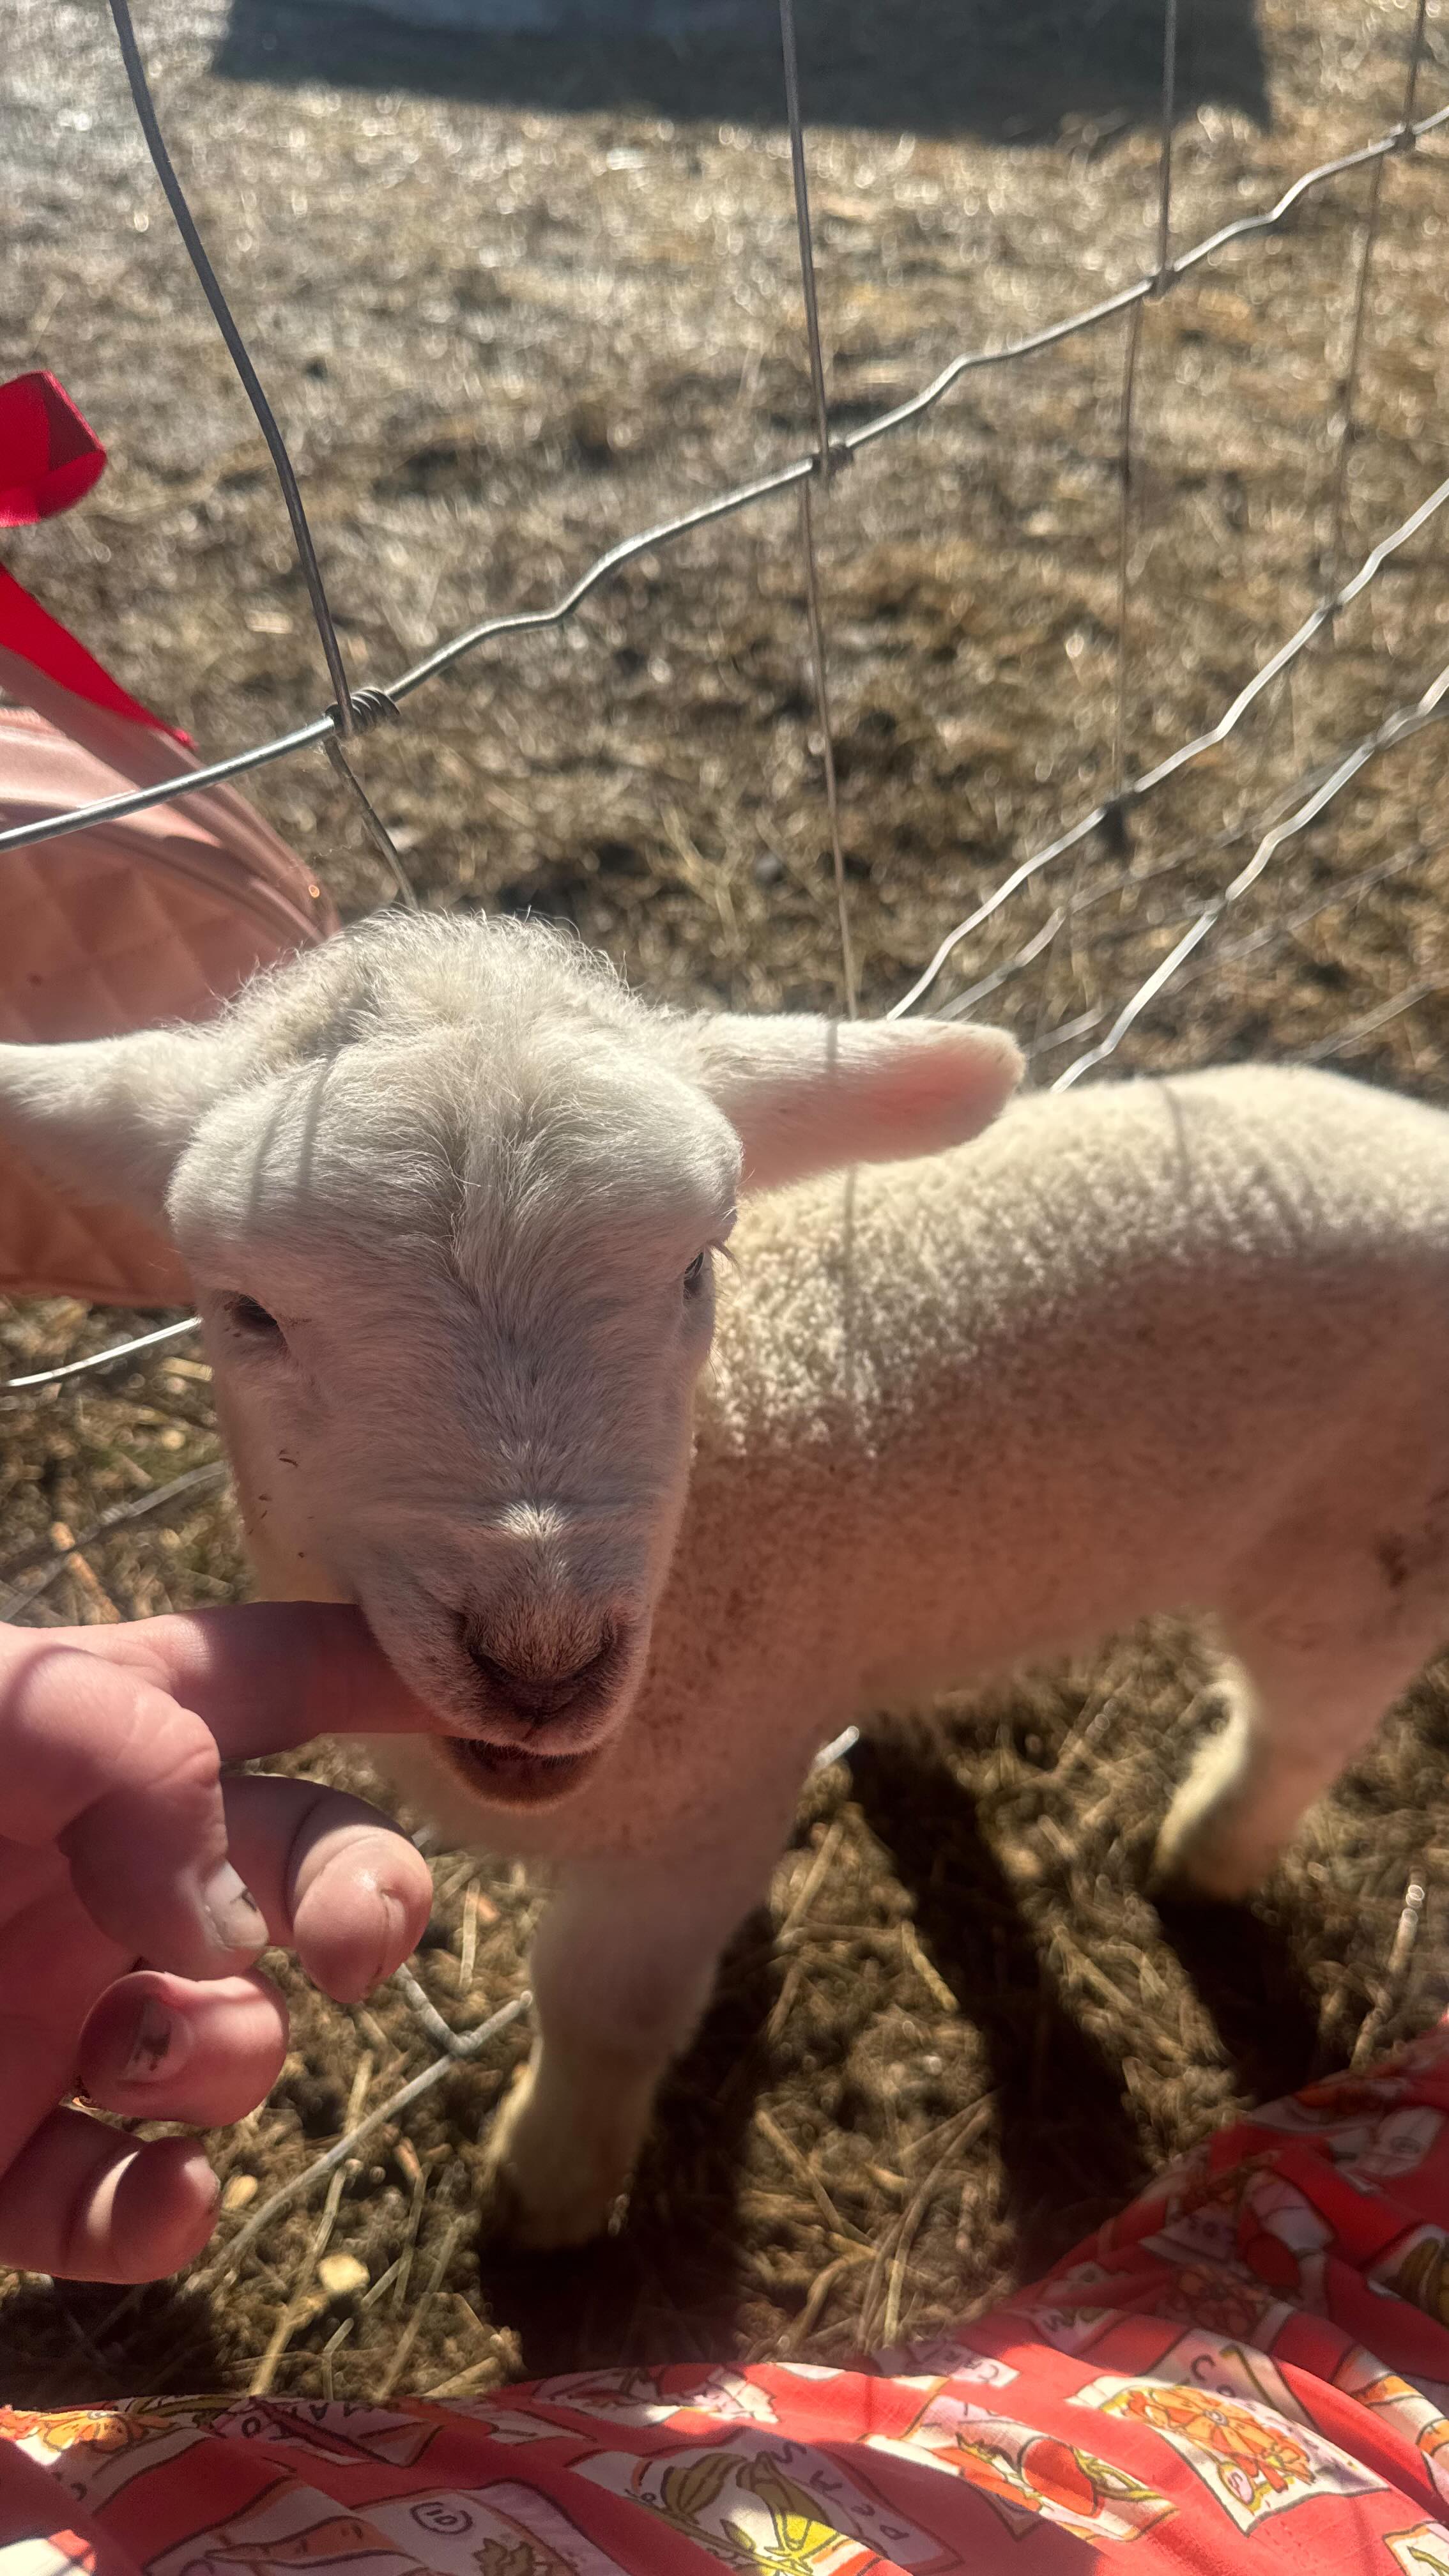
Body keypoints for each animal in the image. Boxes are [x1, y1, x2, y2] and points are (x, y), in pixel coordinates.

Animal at [3, 909, 1449, 2252]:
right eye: (246, 1312)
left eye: (698, 1265)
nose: (543, 1662)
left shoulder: (705, 1801)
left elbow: (606, 2003)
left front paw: (548, 2191)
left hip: (1367, 1550)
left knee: (1305, 1719)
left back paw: (1204, 1851)